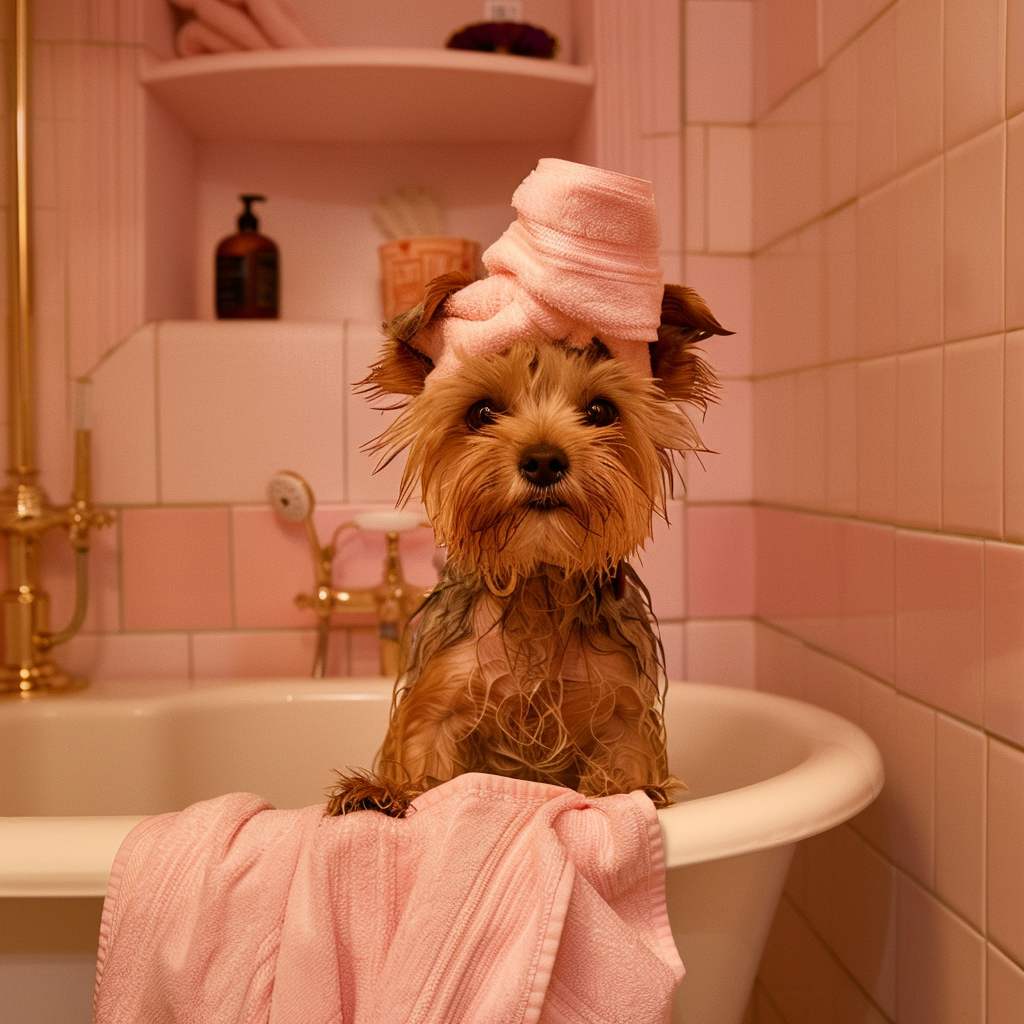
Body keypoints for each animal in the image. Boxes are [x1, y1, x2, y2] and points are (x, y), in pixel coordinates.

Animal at [327, 270, 729, 815]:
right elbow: (424, 768)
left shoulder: (623, 715)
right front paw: (381, 795)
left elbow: (626, 778)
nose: (542, 460)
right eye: (481, 412)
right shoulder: (439, 703)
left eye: (601, 410)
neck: (538, 579)